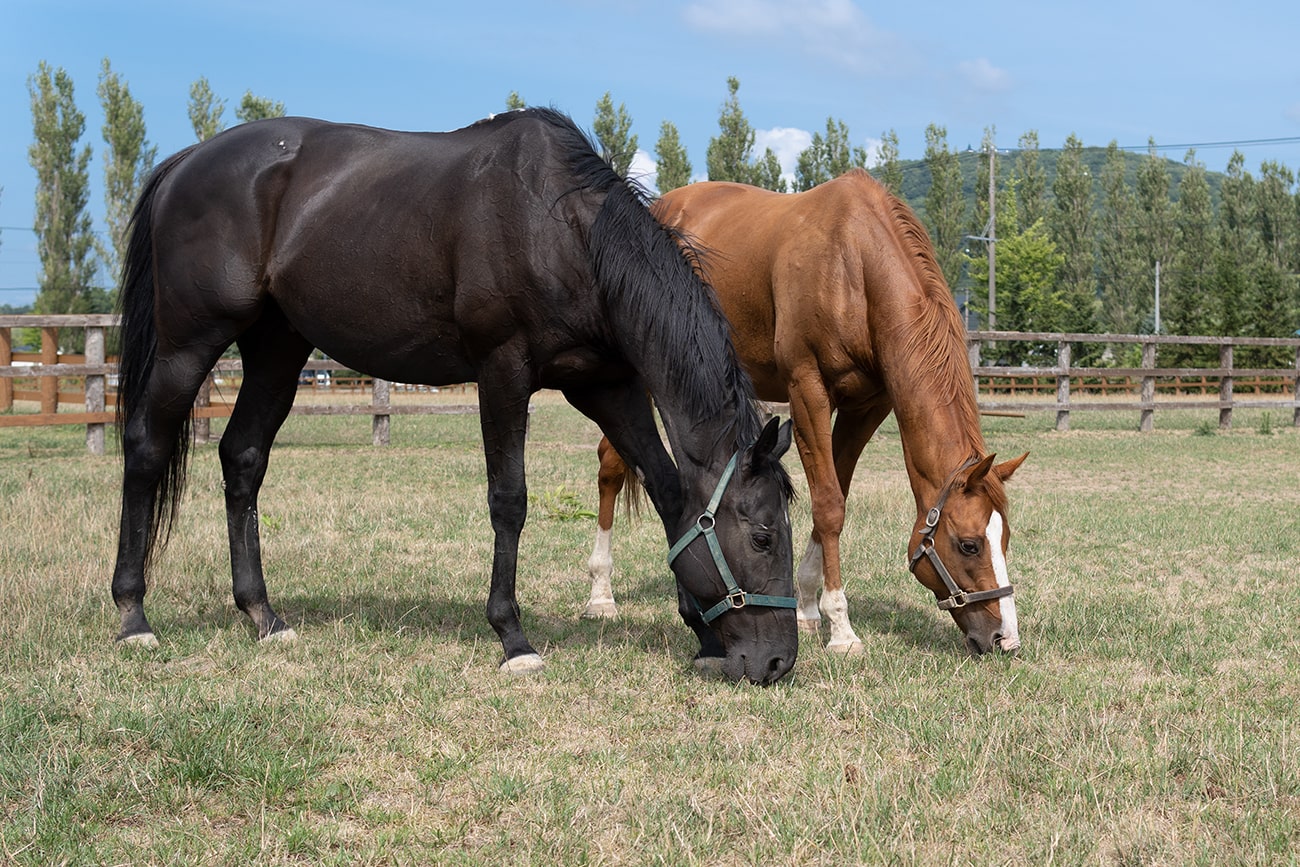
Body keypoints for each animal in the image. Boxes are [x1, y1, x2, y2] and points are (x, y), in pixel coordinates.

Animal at [114, 106, 800, 686]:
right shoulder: (503, 372)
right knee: (146, 450)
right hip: (188, 345)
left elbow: (666, 490)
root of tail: (188, 159)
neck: (563, 231)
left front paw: (702, 637)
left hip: (277, 350)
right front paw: (513, 637)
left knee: (243, 458)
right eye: (764, 537)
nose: (776, 662)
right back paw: (133, 618)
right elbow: (509, 499)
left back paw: (263, 616)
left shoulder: (605, 384)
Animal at [587, 168, 1024, 655]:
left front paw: (809, 608)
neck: (853, 265)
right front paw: (841, 629)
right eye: (969, 545)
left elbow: (835, 492)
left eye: (1004, 538)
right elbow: (829, 505)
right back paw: (600, 594)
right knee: (610, 468)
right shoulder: (807, 391)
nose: (1005, 637)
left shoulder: (867, 406)